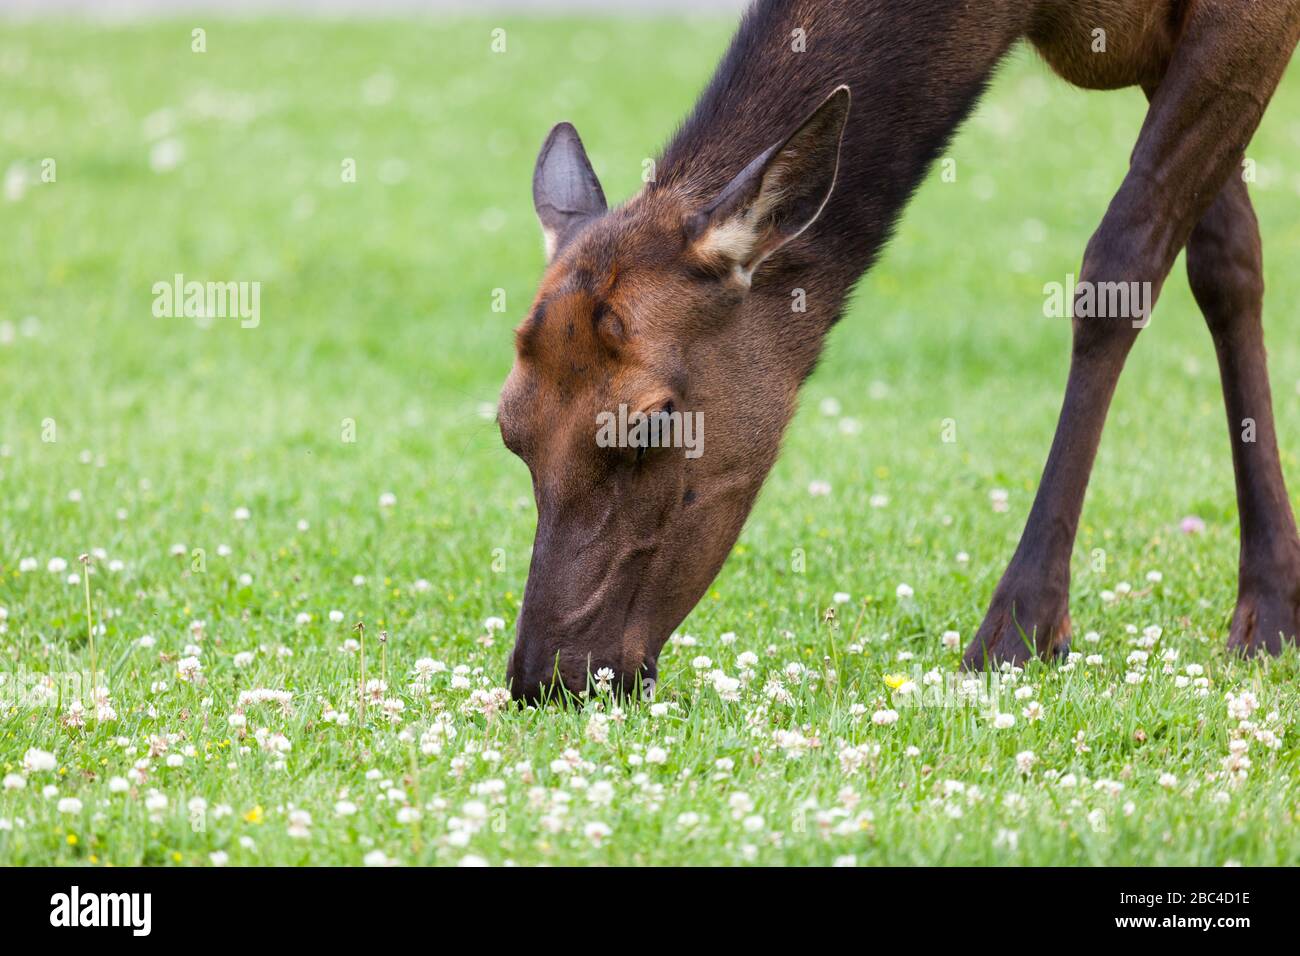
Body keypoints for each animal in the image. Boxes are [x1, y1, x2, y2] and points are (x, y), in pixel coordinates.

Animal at [496, 0, 1300, 702]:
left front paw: (1022, 630)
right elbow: (1228, 263)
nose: (549, 677)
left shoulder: (1243, 23)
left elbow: (1120, 268)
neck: (1027, 13)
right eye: (508, 428)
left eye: (654, 421)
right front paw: (1276, 603)